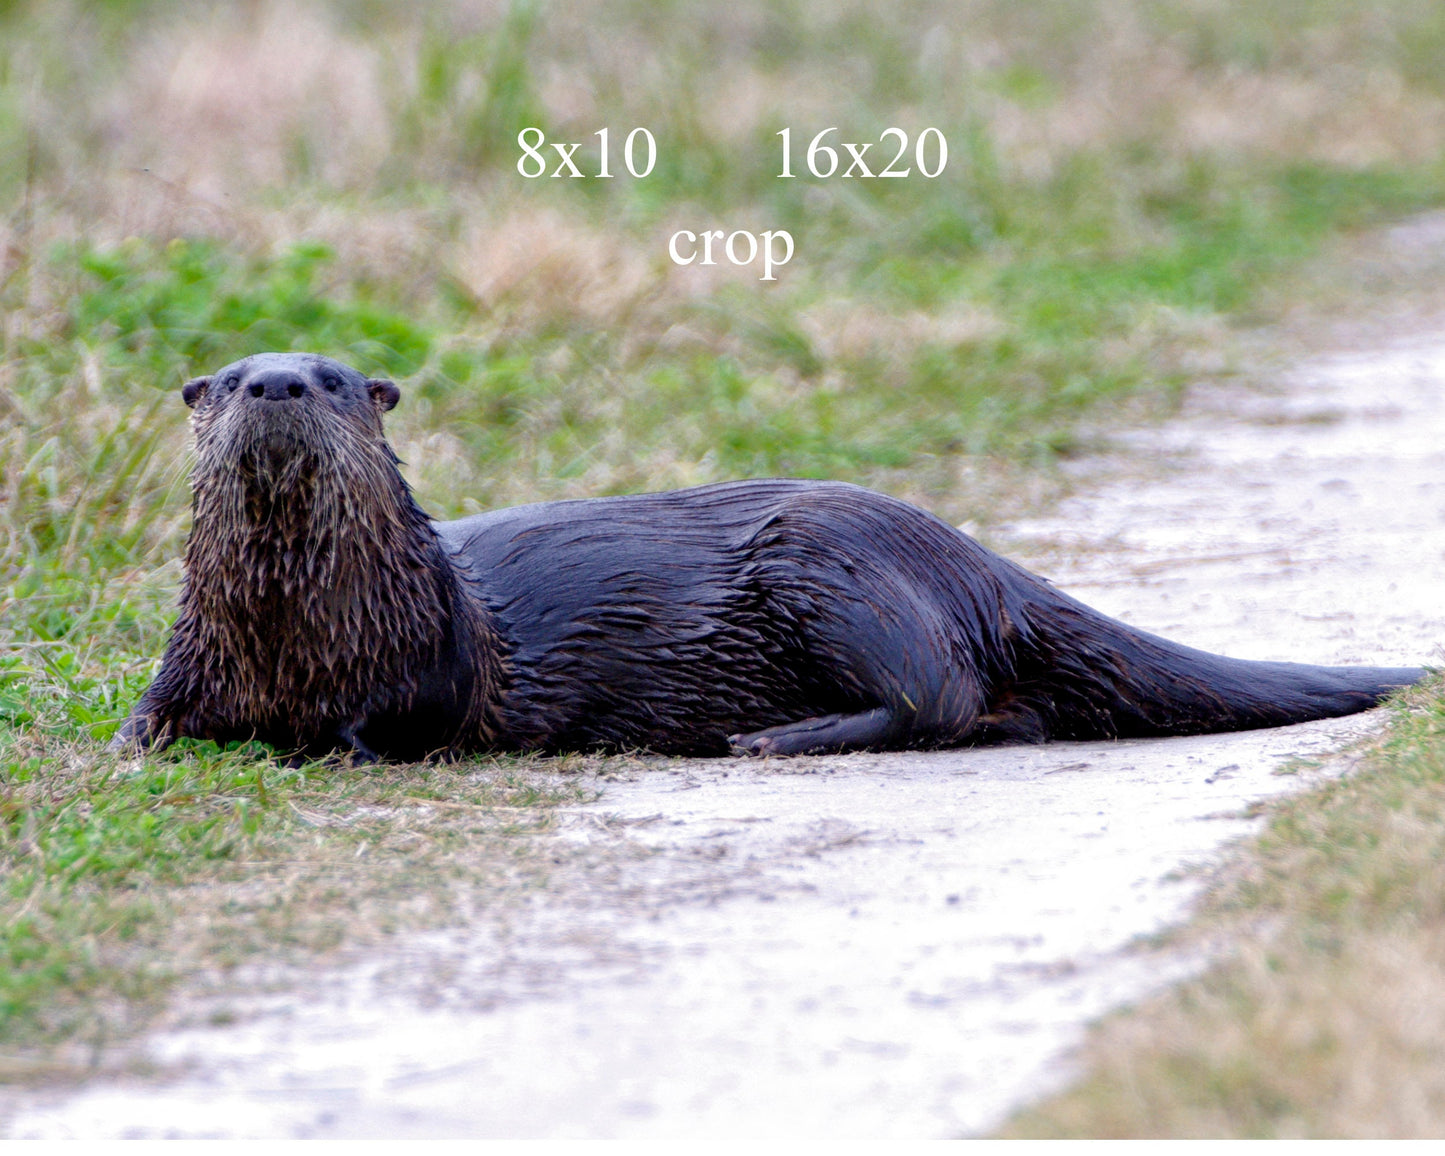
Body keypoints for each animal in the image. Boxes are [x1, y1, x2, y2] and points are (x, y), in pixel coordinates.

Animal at [113, 352, 1425, 763]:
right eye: (227, 377)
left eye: (336, 379)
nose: (279, 384)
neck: (292, 632)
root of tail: (979, 562)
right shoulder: (190, 654)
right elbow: (146, 717)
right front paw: (130, 748)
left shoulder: (425, 664)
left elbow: (383, 726)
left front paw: (314, 751)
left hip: (832, 564)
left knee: (936, 697)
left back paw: (777, 737)